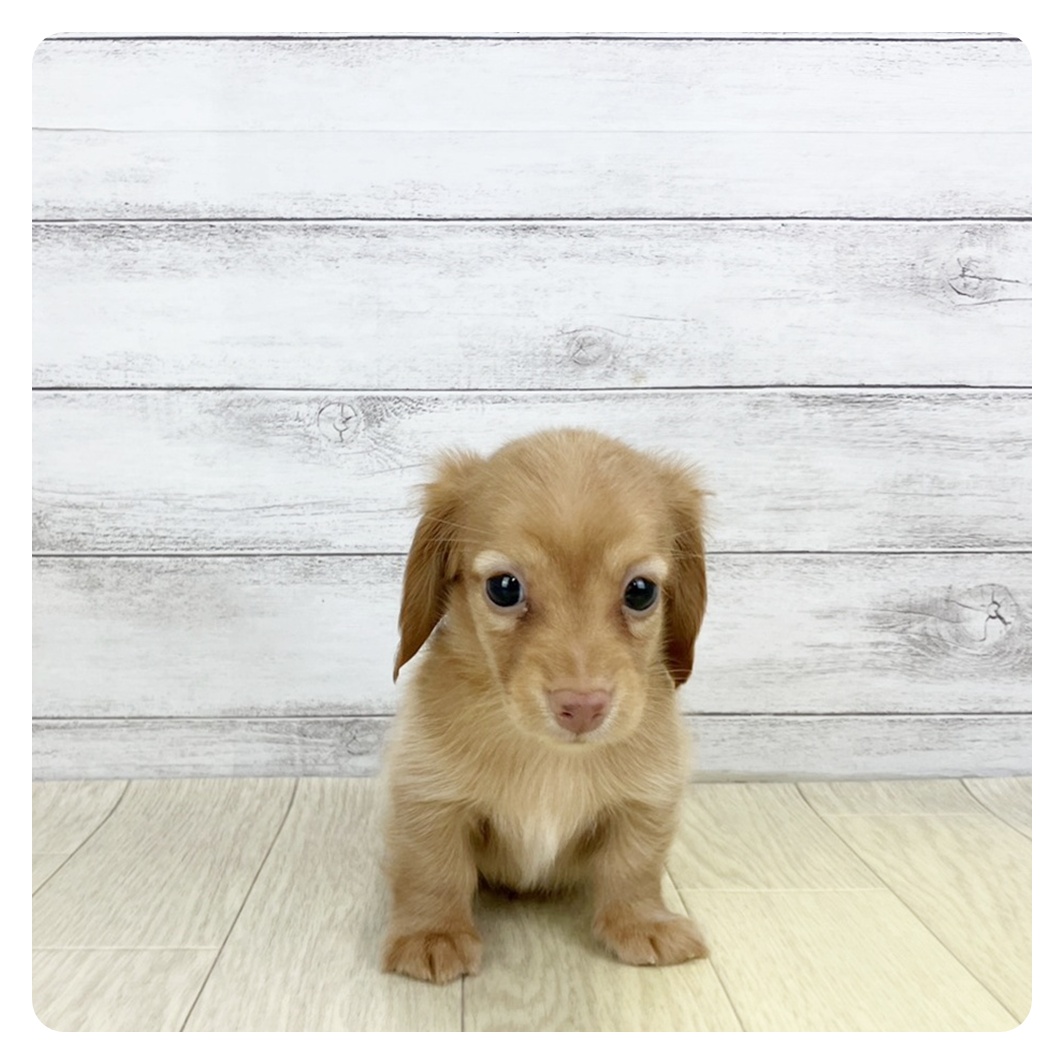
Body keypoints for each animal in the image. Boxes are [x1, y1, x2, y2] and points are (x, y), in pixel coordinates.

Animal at [381, 428, 709, 983]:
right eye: (504, 588)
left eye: (641, 592)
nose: (583, 707)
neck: (548, 754)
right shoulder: (429, 792)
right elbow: (433, 868)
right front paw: (433, 934)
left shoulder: (648, 796)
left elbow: (634, 865)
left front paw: (641, 922)